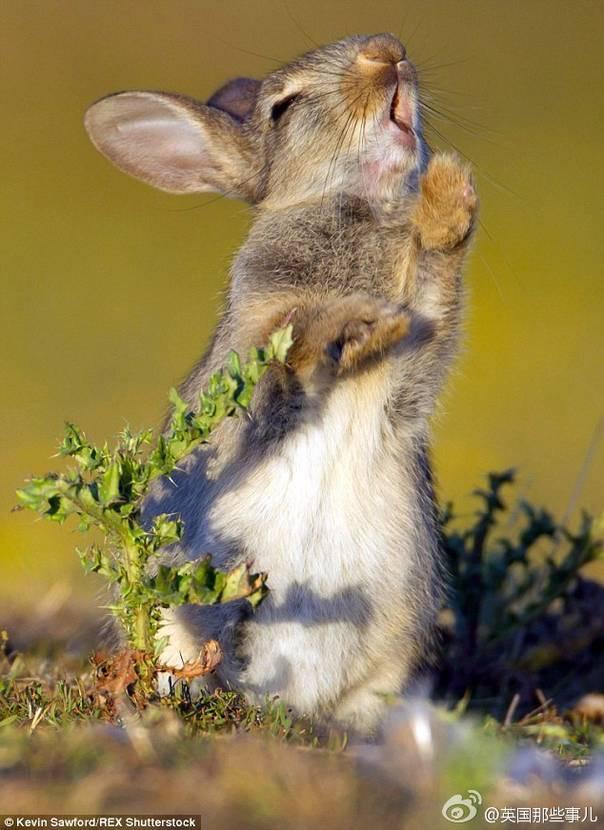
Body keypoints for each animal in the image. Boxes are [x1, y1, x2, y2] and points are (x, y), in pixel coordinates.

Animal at [85, 32, 478, 736]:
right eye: (284, 107)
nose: (387, 50)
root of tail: (288, 698)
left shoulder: (411, 376)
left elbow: (434, 291)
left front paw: (450, 192)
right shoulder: (254, 378)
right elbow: (289, 354)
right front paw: (361, 320)